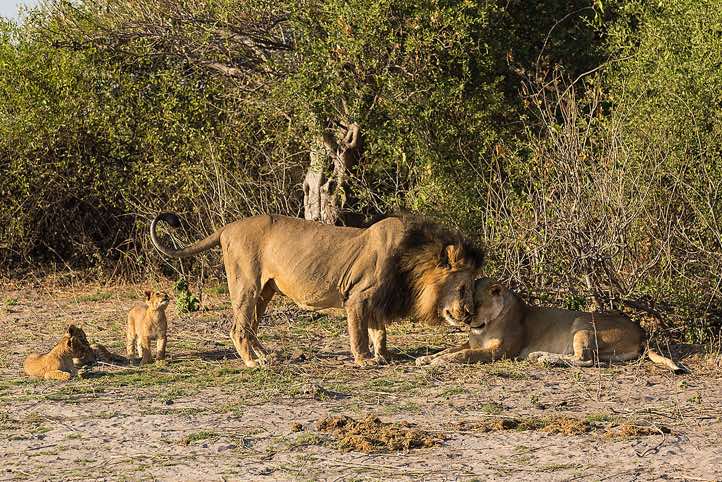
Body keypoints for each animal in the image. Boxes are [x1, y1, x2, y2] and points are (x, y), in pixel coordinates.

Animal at [150, 213, 484, 367]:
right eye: (463, 287)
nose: (469, 315)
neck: (410, 262)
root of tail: (227, 227)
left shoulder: (378, 299)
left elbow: (380, 332)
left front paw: (384, 356)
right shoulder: (357, 296)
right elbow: (359, 332)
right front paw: (364, 359)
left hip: (265, 291)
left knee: (251, 326)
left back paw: (267, 354)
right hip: (246, 284)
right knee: (238, 328)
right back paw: (253, 362)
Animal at [416, 278, 683, 372]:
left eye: (477, 302)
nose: (466, 319)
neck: (485, 325)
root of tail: (642, 331)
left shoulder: (501, 351)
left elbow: (465, 355)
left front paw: (440, 361)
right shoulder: (472, 342)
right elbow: (452, 348)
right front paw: (426, 358)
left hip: (582, 323)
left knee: (586, 359)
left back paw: (544, 358)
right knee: (591, 359)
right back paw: (541, 356)